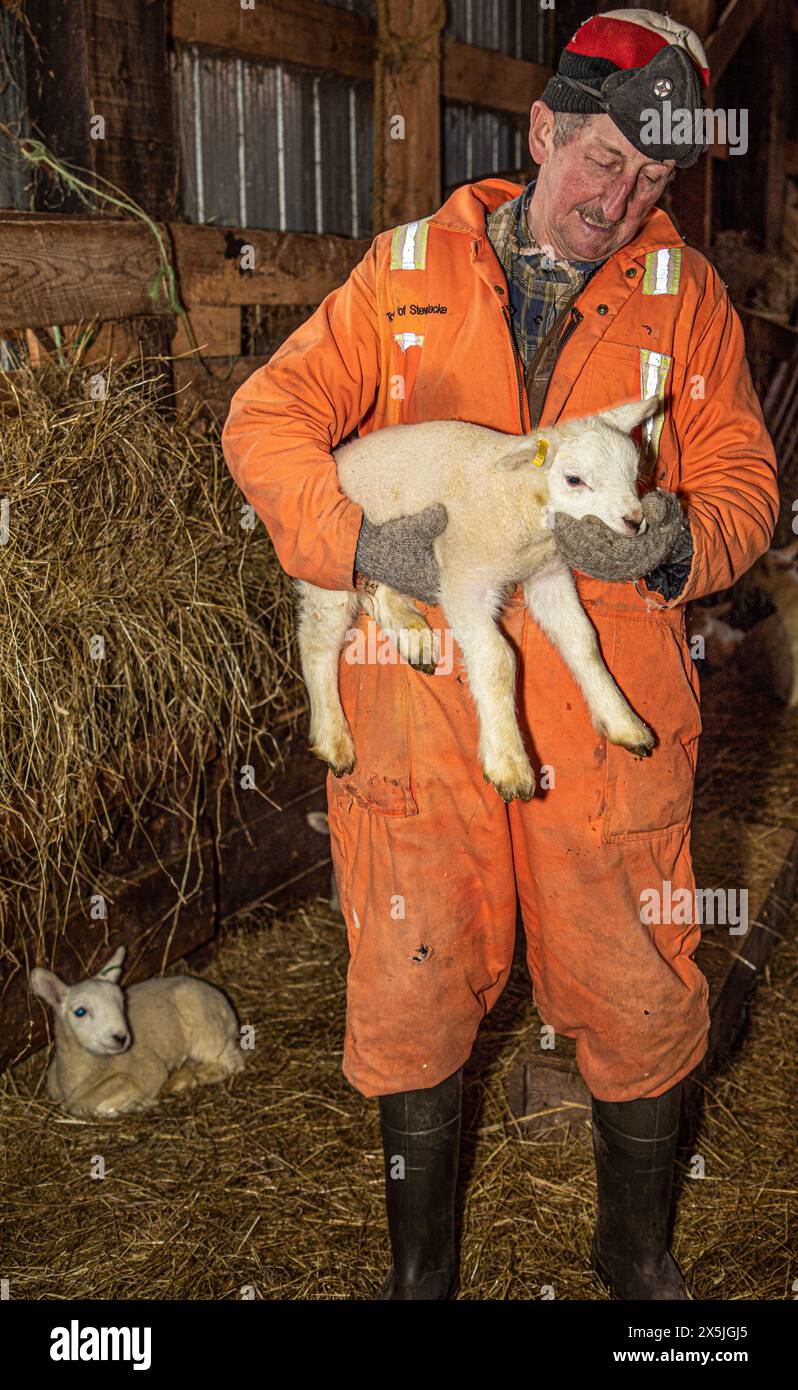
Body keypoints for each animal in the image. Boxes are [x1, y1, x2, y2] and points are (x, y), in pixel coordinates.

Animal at [29, 945, 246, 1117]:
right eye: (80, 1012)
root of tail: (223, 1001)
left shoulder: (151, 1070)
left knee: (231, 1063)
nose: (121, 1037)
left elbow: (102, 1106)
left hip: (208, 1031)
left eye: (121, 1001)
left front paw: (138, 1104)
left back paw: (186, 1079)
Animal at [300, 394, 661, 806]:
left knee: (380, 592)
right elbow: (497, 659)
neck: (516, 499)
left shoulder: (548, 575)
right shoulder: (465, 580)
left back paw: (414, 636)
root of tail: (338, 457)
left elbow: (583, 640)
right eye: (574, 479)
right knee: (317, 643)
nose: (634, 522)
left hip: (387, 552)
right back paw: (333, 737)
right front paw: (508, 762)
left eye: (634, 474)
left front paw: (623, 721)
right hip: (329, 559)